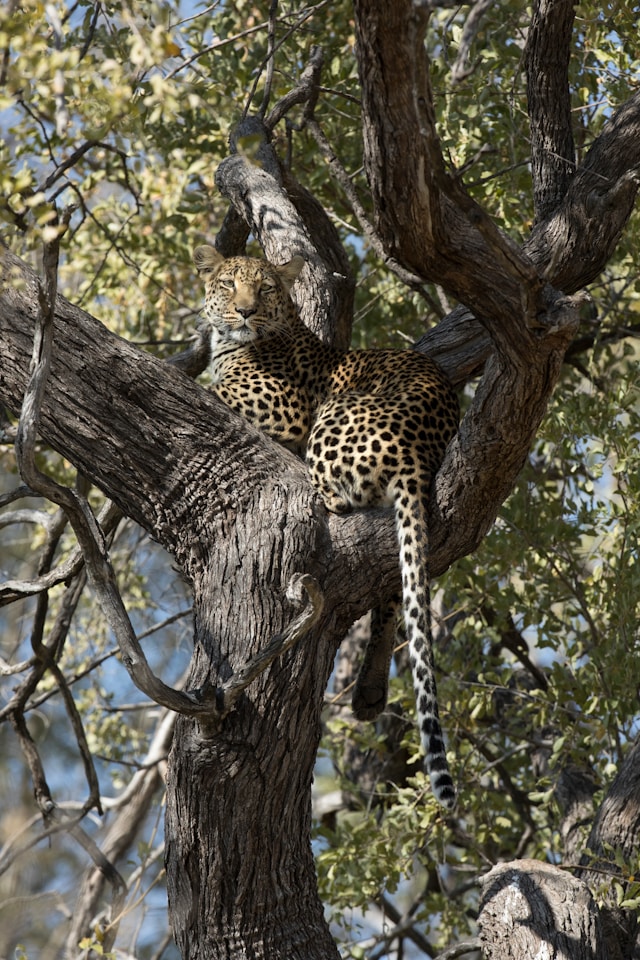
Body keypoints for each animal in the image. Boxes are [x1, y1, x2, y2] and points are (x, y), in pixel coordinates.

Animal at [193, 244, 460, 809]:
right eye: (228, 284)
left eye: (266, 288)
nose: (245, 312)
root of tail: (420, 456)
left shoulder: (286, 408)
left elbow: (213, 385)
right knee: (394, 590)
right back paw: (370, 691)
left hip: (331, 414)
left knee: (335, 503)